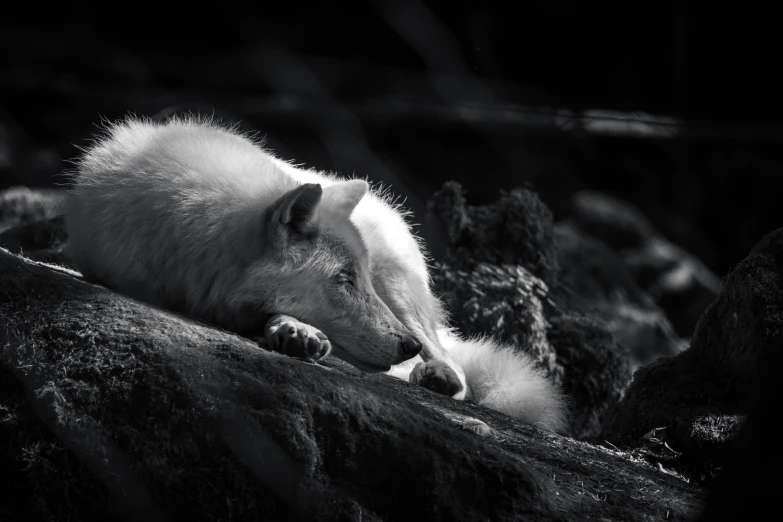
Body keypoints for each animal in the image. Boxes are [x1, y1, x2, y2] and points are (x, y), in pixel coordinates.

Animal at [64, 116, 568, 432]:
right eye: (344, 280)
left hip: (399, 285)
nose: (406, 344)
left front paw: (293, 330)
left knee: (453, 363)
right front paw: (293, 331)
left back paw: (434, 372)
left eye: (359, 277)